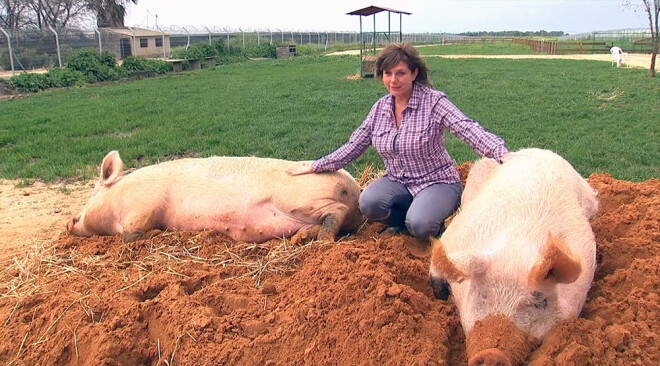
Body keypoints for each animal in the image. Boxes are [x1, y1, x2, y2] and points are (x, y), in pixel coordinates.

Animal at [68, 151, 366, 243]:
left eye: (92, 193)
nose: (69, 221)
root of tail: (355, 191)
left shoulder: (143, 206)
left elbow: (132, 234)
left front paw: (158, 233)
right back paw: (300, 238)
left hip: (300, 201)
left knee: (335, 213)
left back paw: (320, 239)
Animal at [428, 149, 600, 366]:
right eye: (483, 294)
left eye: (539, 302)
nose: (492, 354)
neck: (515, 249)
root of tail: (541, 151)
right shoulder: (453, 238)